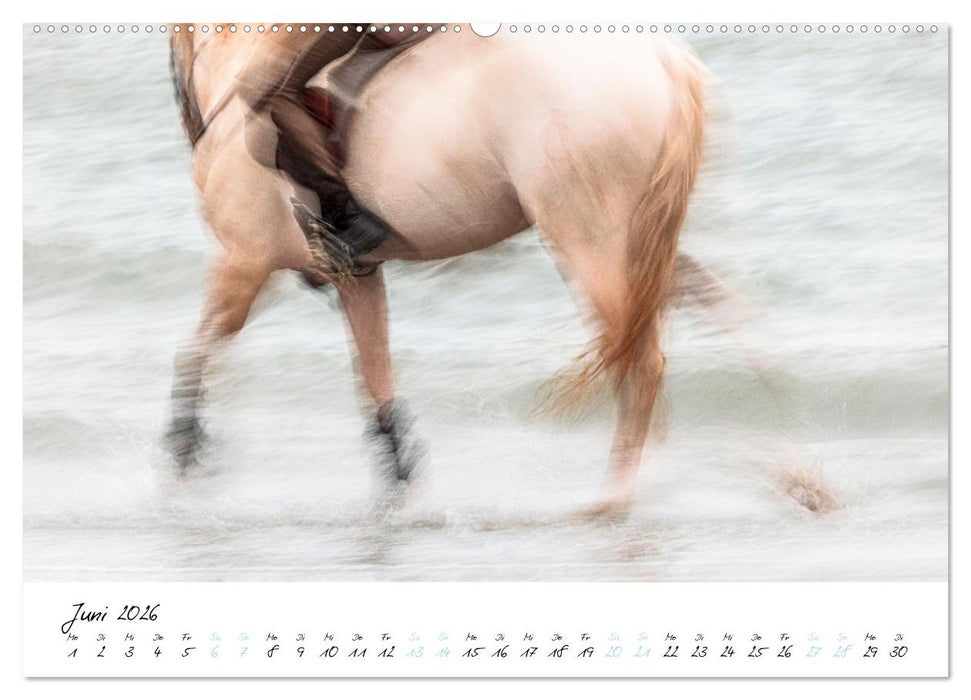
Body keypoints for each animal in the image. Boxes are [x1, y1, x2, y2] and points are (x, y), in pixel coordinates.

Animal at [167, 24, 707, 518]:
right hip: (642, 246)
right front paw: (399, 487)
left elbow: (197, 349)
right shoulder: (355, 278)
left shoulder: (244, 261)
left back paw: (614, 497)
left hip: (588, 239)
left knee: (638, 363)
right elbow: (376, 380)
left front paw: (184, 448)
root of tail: (662, 60)